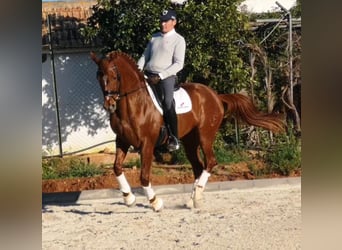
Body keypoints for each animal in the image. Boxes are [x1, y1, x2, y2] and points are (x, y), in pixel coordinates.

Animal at [90, 50, 284, 211]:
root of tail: (216, 95)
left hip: (205, 136)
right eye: (98, 77)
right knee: (198, 167)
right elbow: (116, 168)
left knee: (210, 162)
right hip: (190, 141)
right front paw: (129, 198)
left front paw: (155, 202)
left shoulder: (147, 144)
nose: (109, 105)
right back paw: (192, 200)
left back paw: (197, 196)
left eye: (114, 76)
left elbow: (144, 176)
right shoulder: (122, 141)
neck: (133, 105)